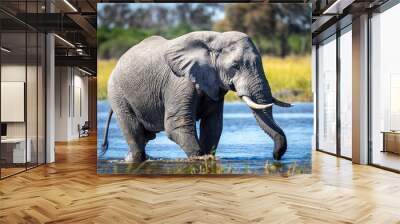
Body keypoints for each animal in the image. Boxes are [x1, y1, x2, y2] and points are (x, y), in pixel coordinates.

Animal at [101, 30, 292, 162]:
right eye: (235, 66)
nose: (276, 156)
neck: (216, 39)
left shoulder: (214, 83)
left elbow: (213, 124)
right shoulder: (179, 81)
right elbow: (176, 124)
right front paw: (200, 158)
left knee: (144, 138)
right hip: (117, 93)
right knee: (135, 135)